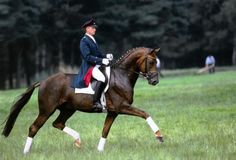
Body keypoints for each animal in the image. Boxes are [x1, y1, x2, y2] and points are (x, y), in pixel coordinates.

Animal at [1, 47, 163, 154]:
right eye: (151, 61)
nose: (154, 81)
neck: (121, 76)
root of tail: (43, 81)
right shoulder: (122, 107)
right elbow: (145, 114)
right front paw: (159, 136)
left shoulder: (113, 112)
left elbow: (105, 130)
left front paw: (99, 151)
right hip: (47, 110)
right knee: (34, 127)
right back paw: (26, 152)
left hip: (68, 109)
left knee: (58, 123)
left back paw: (78, 140)